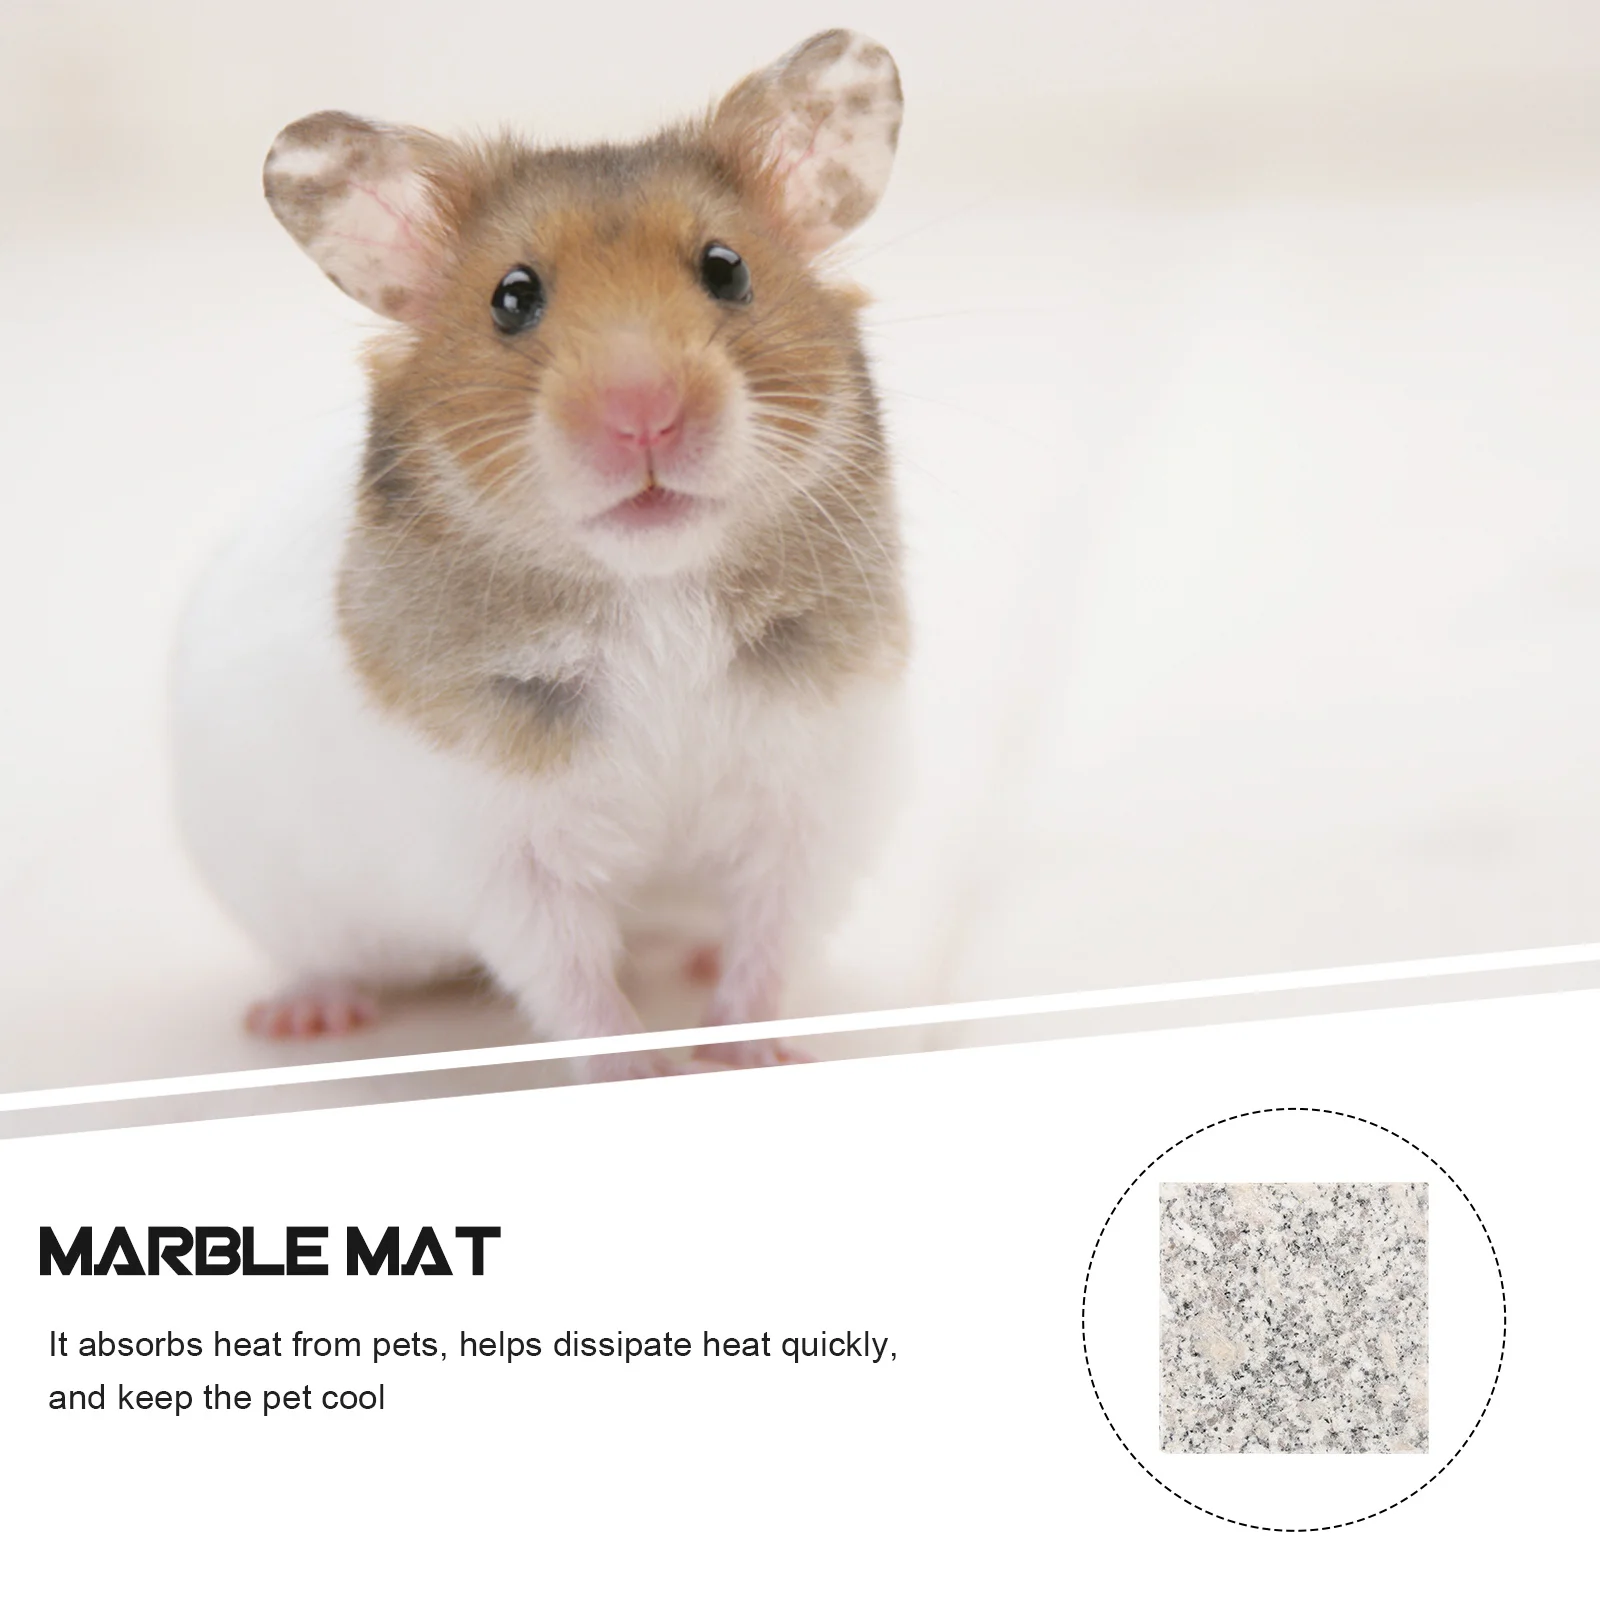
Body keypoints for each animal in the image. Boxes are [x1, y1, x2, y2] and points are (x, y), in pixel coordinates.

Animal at [171, 30, 909, 1080]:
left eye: (726, 269)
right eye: (512, 298)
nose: (643, 413)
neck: (655, 591)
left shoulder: (811, 793)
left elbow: (772, 933)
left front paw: (748, 1055)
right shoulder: (504, 848)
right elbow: (570, 976)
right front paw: (640, 1071)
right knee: (324, 962)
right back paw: (306, 1017)